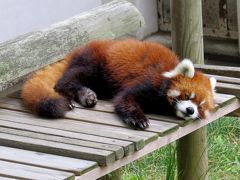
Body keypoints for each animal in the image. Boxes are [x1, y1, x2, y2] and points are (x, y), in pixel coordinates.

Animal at [21, 39, 217, 129]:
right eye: (187, 96)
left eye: (200, 106)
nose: (190, 110)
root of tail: (75, 51)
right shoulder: (147, 80)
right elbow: (124, 99)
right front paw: (138, 119)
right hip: (94, 62)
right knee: (66, 80)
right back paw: (81, 95)